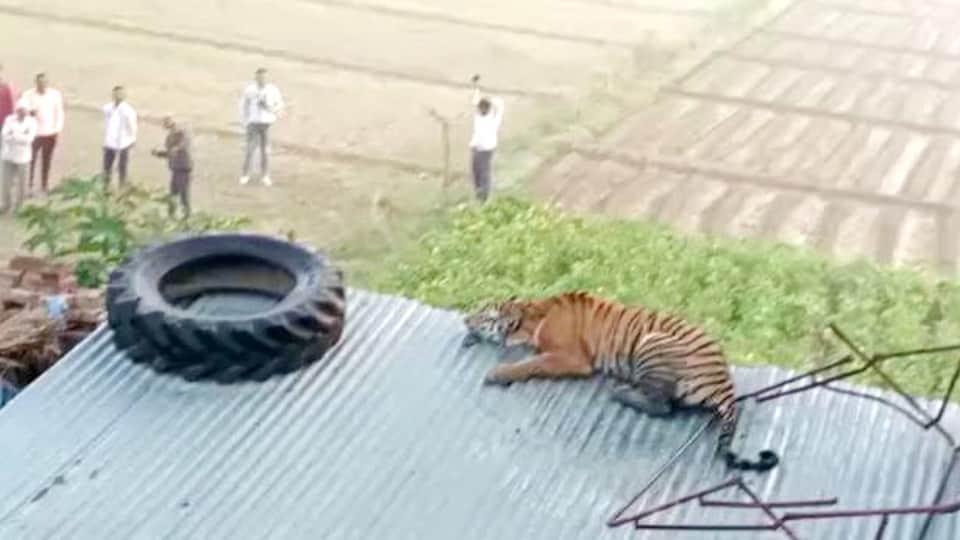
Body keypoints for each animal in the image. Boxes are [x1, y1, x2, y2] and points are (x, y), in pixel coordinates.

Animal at [460, 290, 779, 472]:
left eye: (482, 312)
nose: (465, 319)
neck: (532, 316)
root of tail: (725, 382)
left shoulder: (570, 358)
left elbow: (531, 364)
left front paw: (498, 372)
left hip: (651, 341)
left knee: (662, 405)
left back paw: (621, 391)